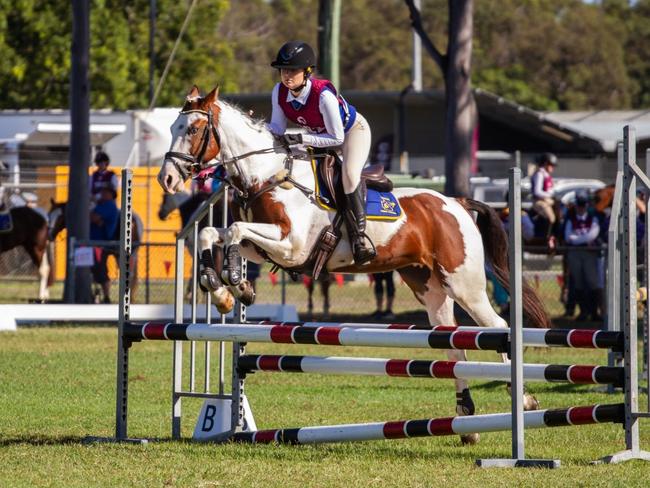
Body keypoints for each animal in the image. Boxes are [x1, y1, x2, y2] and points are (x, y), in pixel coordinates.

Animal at [157, 86, 548, 444]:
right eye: (173, 126)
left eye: (194, 129)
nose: (167, 179)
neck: (268, 176)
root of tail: (456, 202)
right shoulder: (267, 248)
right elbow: (214, 233)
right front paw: (227, 289)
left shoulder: (291, 246)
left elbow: (235, 229)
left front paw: (233, 282)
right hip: (430, 288)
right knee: (453, 345)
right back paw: (466, 419)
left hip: (465, 284)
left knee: (498, 328)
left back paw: (524, 400)